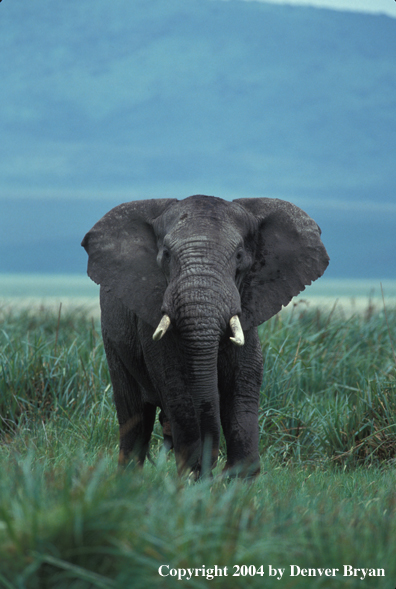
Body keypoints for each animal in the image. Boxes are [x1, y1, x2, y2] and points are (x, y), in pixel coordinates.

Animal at [82, 195, 330, 476]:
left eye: (239, 256)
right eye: (166, 255)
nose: (213, 471)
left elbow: (243, 382)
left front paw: (238, 476)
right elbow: (176, 386)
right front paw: (193, 474)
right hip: (112, 339)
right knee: (134, 415)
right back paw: (127, 478)